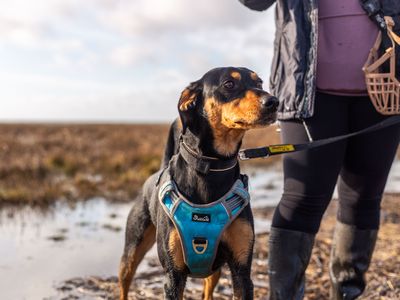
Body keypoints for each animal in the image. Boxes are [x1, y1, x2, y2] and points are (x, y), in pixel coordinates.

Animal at [117, 67, 276, 300]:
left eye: (260, 83)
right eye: (229, 84)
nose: (274, 101)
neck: (211, 167)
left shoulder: (242, 271)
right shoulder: (173, 275)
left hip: (214, 268)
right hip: (132, 248)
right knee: (125, 280)